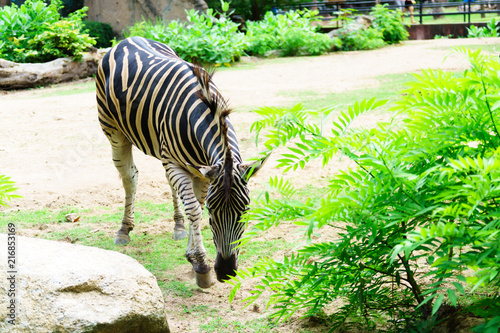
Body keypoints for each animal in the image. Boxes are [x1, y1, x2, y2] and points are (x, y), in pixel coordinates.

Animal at [95, 35, 268, 286]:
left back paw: (178, 225)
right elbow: (195, 210)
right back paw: (124, 229)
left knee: (169, 186)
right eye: (213, 213)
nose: (225, 271)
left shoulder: (202, 171)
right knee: (130, 177)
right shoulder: (180, 165)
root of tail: (127, 39)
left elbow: (195, 207)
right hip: (115, 133)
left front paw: (193, 257)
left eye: (245, 211)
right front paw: (201, 265)